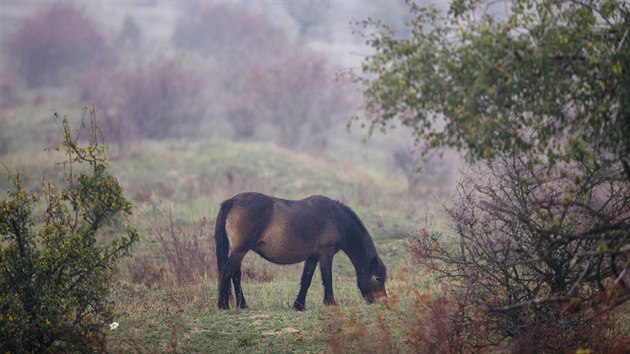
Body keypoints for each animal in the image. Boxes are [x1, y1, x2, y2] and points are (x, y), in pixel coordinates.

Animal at [215, 191, 388, 310]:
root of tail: (232, 201)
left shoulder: (312, 257)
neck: (337, 218)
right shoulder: (326, 253)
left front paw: (299, 305)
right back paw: (224, 305)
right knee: (227, 272)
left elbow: (306, 279)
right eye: (378, 278)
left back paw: (242, 305)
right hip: (240, 250)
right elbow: (327, 278)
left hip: (239, 251)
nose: (384, 302)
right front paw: (331, 303)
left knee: (235, 274)